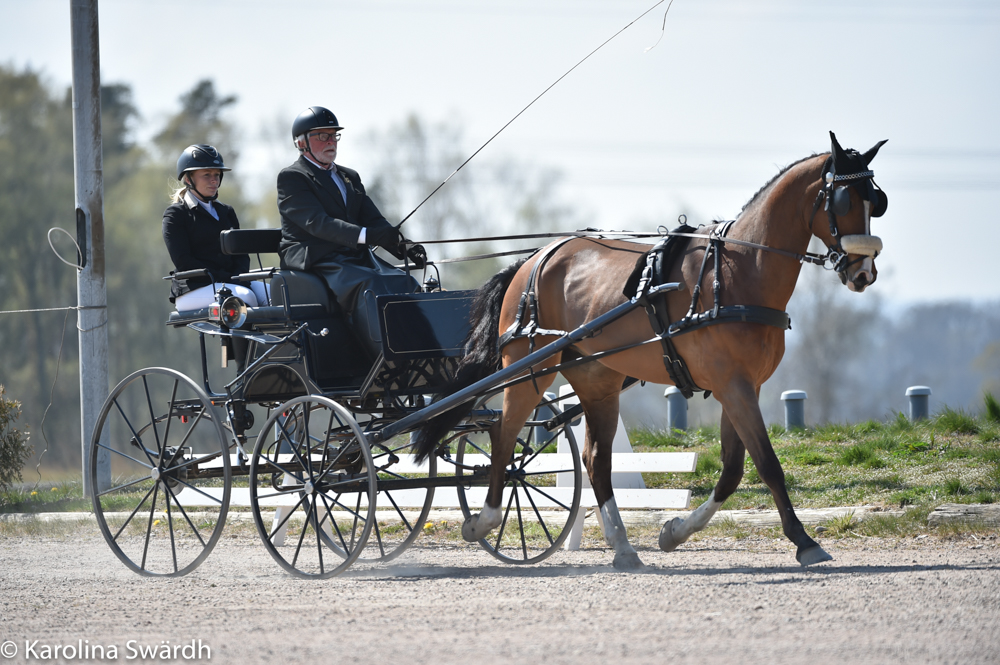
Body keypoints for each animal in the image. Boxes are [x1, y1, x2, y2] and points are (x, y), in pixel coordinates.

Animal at [414, 132, 892, 568]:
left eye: (877, 201)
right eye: (844, 199)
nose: (864, 272)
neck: (736, 271)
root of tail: (532, 260)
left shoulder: (741, 386)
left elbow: (733, 469)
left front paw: (675, 532)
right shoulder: (733, 386)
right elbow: (767, 464)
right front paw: (804, 541)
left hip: (597, 380)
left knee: (594, 460)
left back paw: (623, 546)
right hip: (531, 366)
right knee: (505, 435)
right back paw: (484, 520)